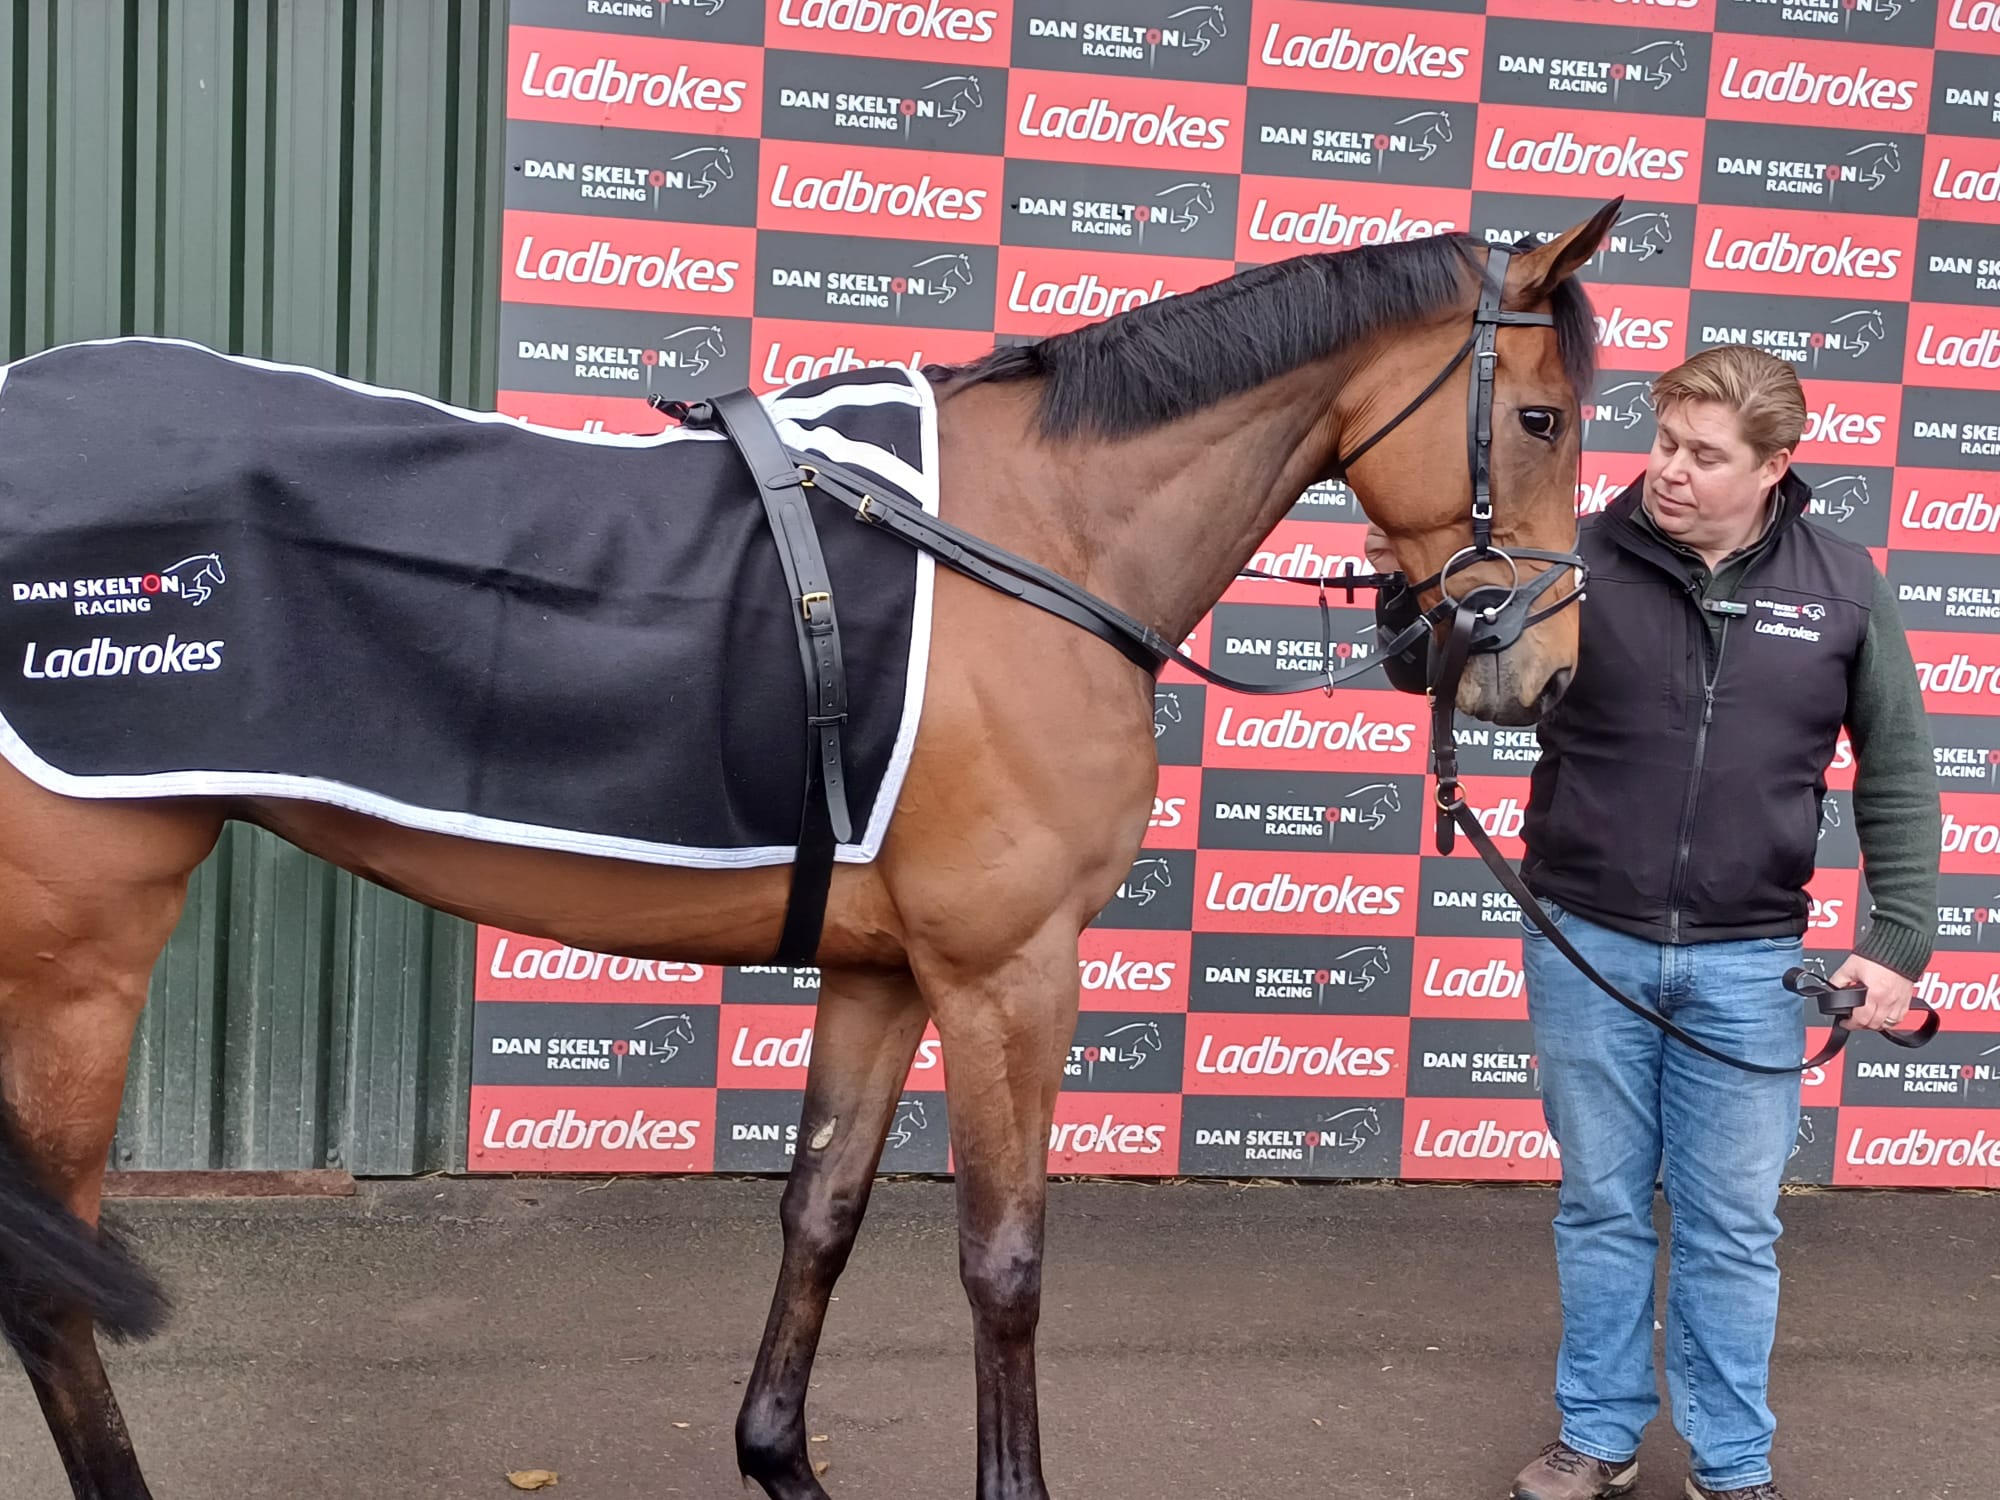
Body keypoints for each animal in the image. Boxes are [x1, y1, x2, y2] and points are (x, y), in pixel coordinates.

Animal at [0, 203, 1624, 1500]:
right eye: (1544, 418)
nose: (1540, 676)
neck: (1037, 540)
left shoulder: (884, 972)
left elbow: (822, 1212)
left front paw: (776, 1457)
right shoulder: (1007, 974)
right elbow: (1002, 1260)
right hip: (77, 962)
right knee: (47, 1283)